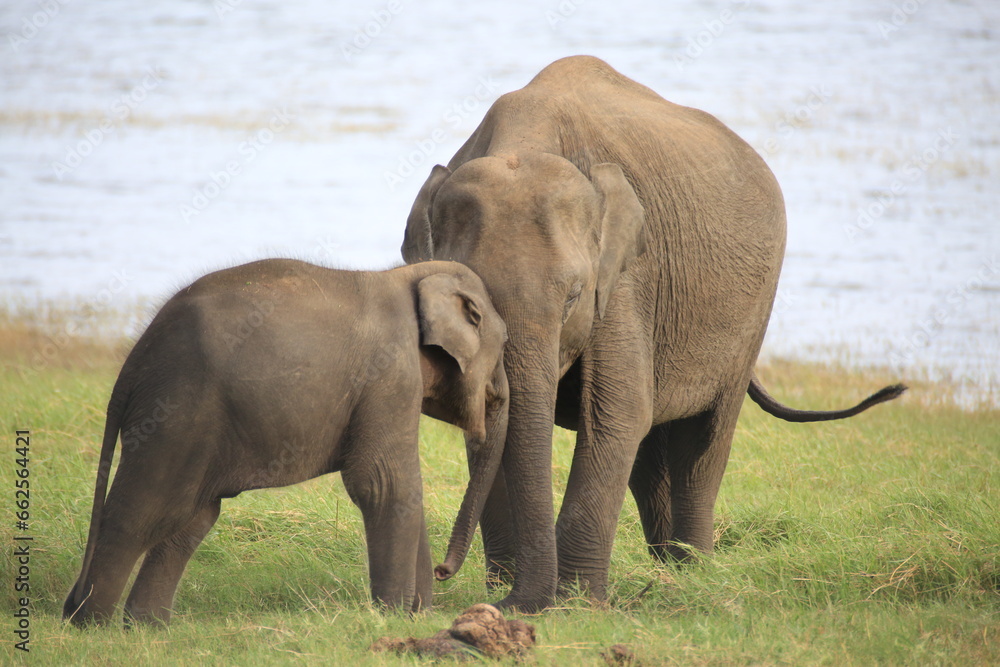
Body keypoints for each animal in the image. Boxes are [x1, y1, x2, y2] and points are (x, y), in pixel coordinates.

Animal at [63, 258, 509, 627]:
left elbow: (399, 490)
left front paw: (416, 616)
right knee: (143, 511)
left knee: (193, 518)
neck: (411, 275)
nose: (443, 573)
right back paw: (90, 623)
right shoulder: (390, 373)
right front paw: (396, 616)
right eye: (504, 342)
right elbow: (385, 485)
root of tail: (130, 367)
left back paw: (146, 627)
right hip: (175, 412)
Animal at [402, 55, 905, 611]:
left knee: (701, 443)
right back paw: (666, 568)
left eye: (574, 296)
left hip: (753, 312)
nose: (445, 572)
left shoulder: (625, 278)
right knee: (651, 452)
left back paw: (692, 572)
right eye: (469, 307)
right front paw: (514, 593)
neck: (527, 138)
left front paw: (577, 605)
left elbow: (617, 412)